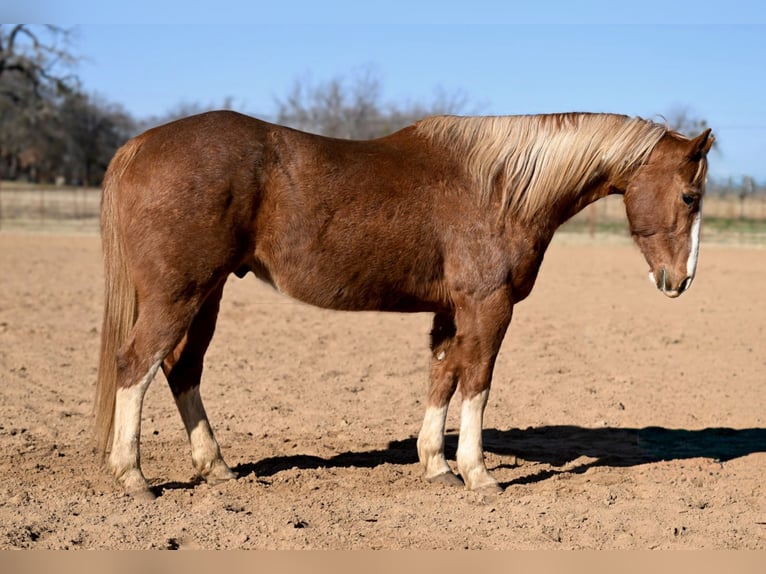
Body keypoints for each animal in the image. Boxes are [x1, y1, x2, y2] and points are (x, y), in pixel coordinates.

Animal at [94, 110, 714, 498]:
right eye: (690, 196)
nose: (681, 280)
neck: (499, 188)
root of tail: (138, 146)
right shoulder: (488, 307)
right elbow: (477, 384)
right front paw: (478, 474)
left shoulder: (450, 313)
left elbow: (442, 378)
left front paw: (437, 466)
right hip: (180, 294)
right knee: (137, 365)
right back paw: (133, 476)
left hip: (208, 293)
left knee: (182, 369)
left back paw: (216, 467)